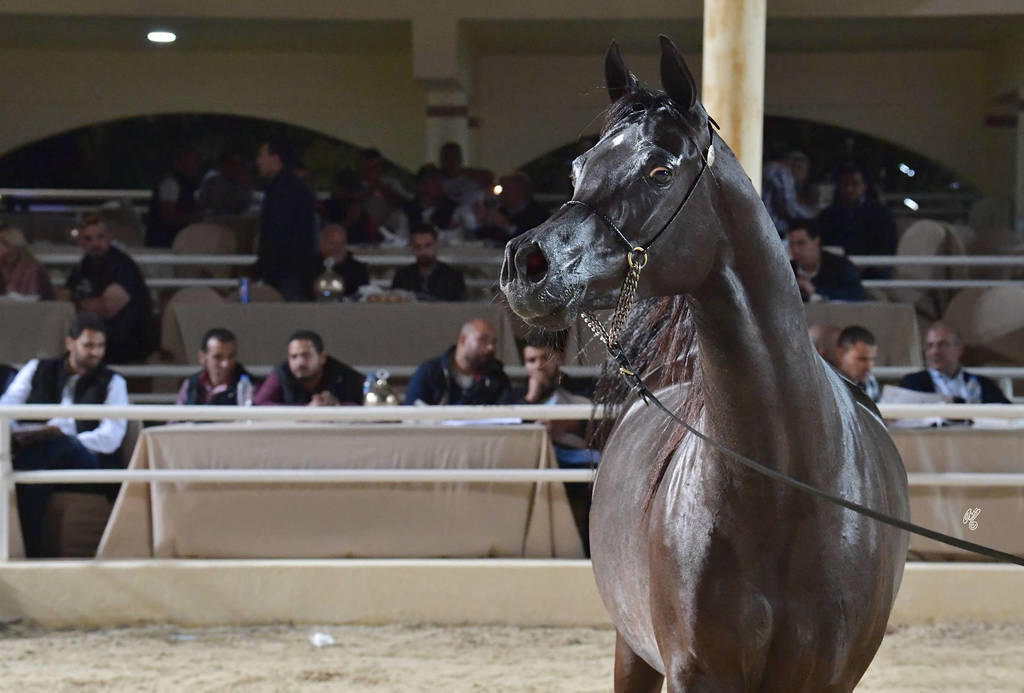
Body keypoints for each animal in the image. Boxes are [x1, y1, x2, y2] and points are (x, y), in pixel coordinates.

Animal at [500, 37, 909, 693]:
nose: (524, 264)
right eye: (577, 168)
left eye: (660, 171)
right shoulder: (693, 673)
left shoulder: (830, 679)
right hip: (632, 651)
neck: (785, 489)